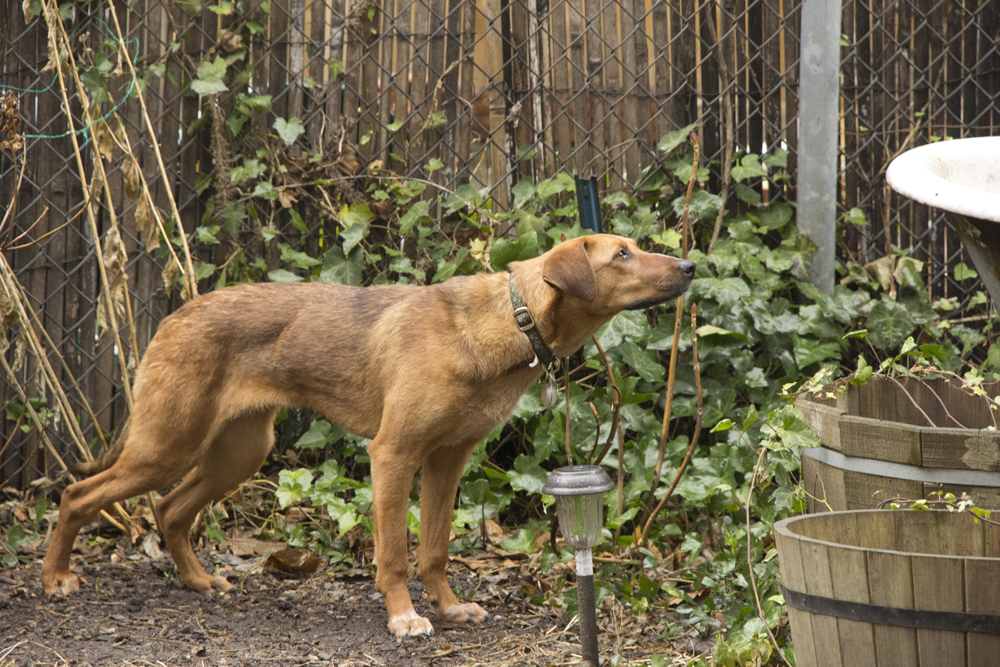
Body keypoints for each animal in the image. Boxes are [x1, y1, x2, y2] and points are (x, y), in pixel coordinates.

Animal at [41, 232, 696, 640]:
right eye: (622, 254)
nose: (690, 266)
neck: (510, 319)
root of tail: (173, 317)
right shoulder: (394, 454)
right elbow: (394, 555)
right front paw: (404, 618)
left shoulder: (447, 460)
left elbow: (435, 547)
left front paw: (449, 608)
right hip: (167, 445)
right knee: (79, 495)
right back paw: (54, 580)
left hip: (240, 452)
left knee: (171, 508)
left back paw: (200, 581)